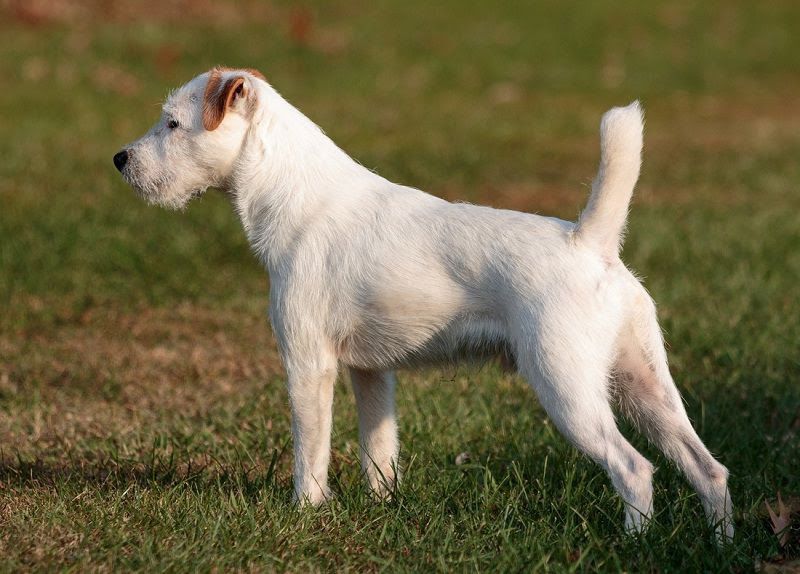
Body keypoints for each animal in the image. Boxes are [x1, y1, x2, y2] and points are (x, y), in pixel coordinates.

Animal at [115, 68, 736, 544]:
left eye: (173, 123)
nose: (120, 158)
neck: (297, 194)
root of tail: (590, 242)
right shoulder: (370, 373)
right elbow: (379, 449)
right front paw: (382, 505)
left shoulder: (308, 365)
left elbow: (309, 452)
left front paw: (305, 514)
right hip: (646, 387)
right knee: (708, 470)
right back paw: (722, 544)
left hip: (569, 390)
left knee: (635, 469)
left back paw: (634, 541)